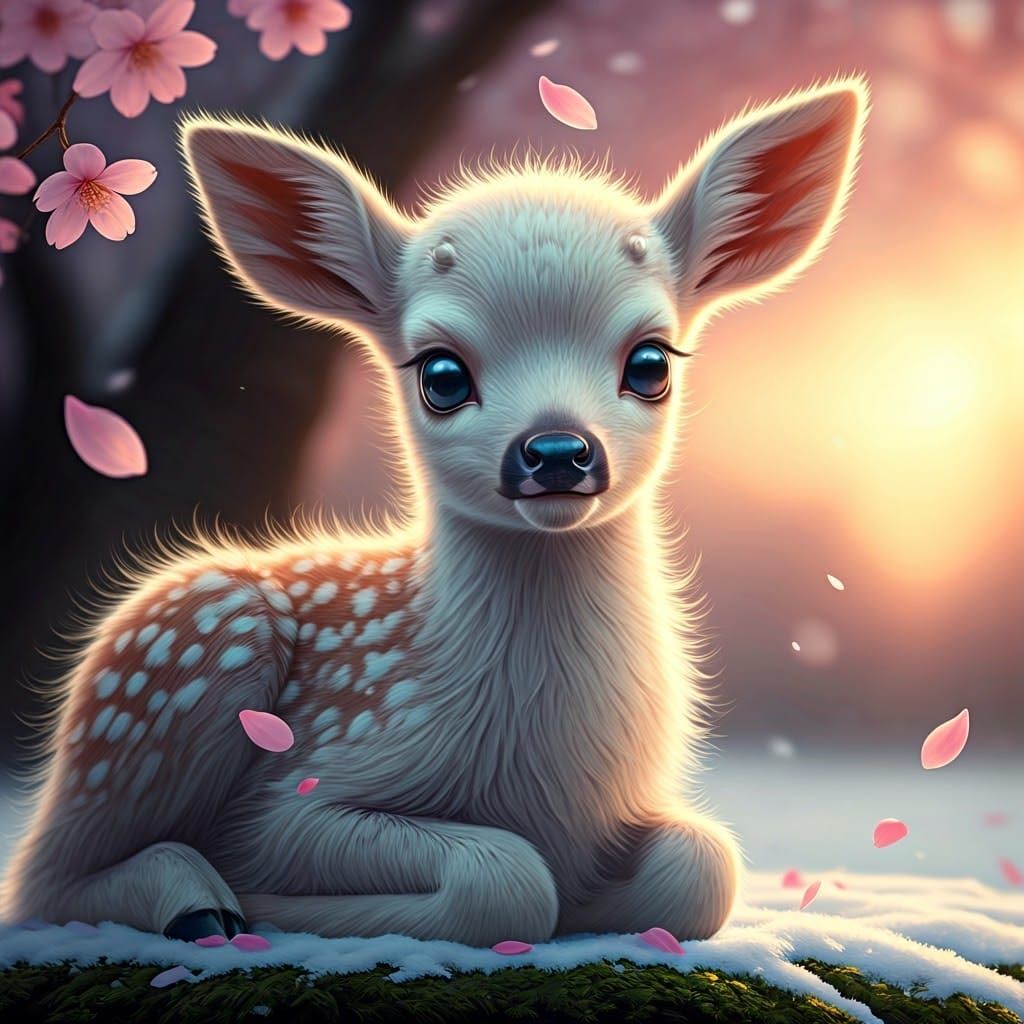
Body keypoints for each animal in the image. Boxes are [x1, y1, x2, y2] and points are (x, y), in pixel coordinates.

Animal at [1, 78, 866, 947]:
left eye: (651, 362)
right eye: (441, 374)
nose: (558, 451)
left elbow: (702, 866)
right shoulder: (298, 790)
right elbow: (506, 878)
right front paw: (279, 902)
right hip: (183, 662)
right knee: (45, 878)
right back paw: (200, 904)